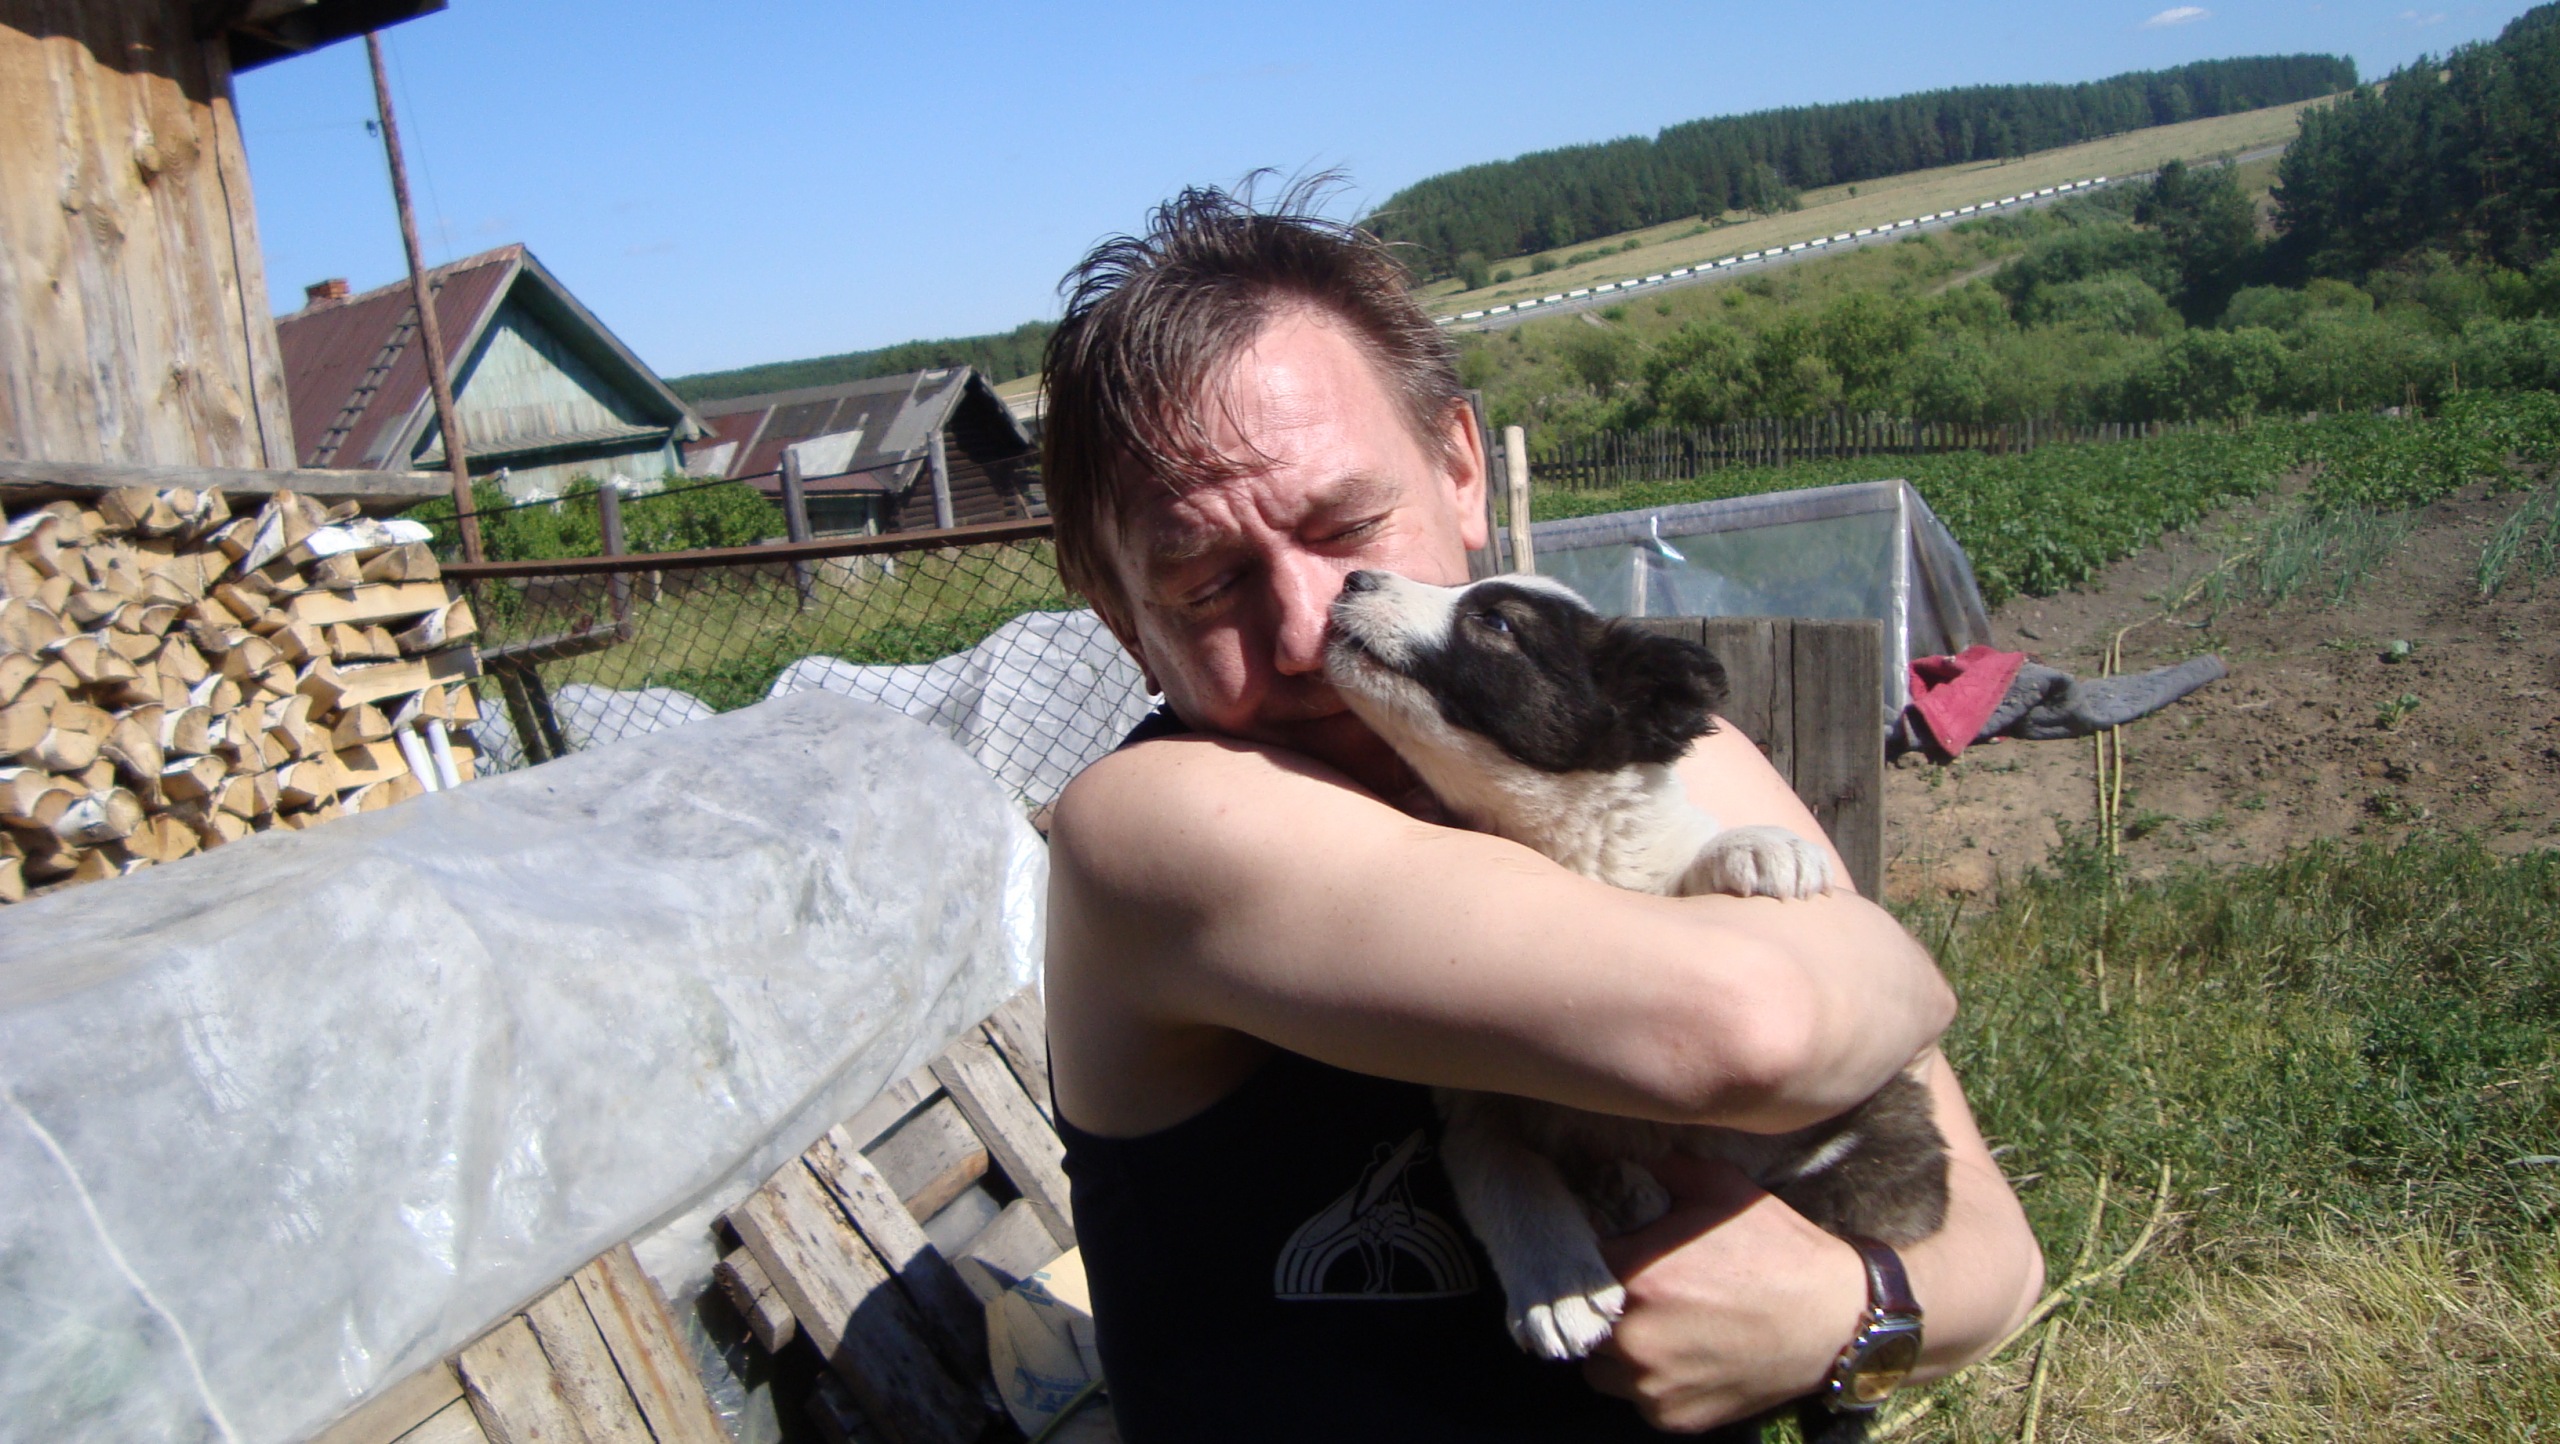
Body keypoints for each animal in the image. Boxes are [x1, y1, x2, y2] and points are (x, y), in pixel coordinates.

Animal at [1324, 569, 1948, 1398]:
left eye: (1496, 623)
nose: (1355, 576)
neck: (1552, 845)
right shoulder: (1473, 1104)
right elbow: (1502, 1168)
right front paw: (1557, 1283)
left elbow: (1688, 865)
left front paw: (1762, 846)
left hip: (1887, 1134)